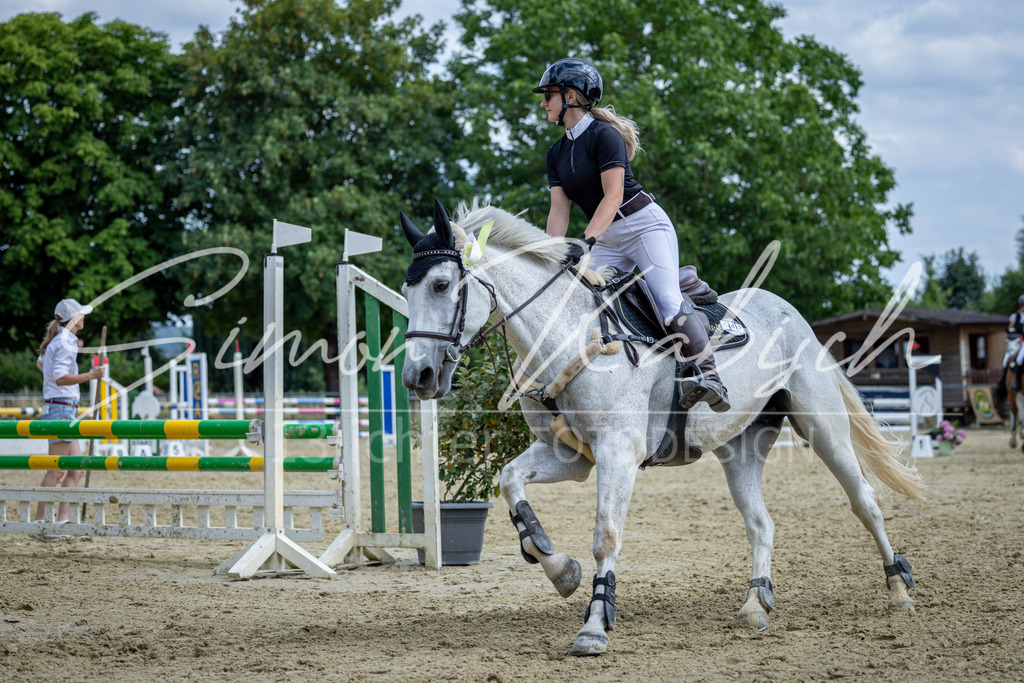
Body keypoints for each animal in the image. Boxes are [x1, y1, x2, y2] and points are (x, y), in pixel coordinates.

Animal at [399, 199, 926, 656]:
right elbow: (511, 482)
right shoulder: (570, 456)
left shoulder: (618, 453)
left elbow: (606, 535)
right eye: (406, 291)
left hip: (822, 429)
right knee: (761, 523)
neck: (567, 335)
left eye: (442, 285)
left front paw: (594, 625)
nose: (417, 377)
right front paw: (559, 568)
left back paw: (899, 590)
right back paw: (755, 604)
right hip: (742, 448)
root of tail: (792, 314)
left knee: (865, 502)